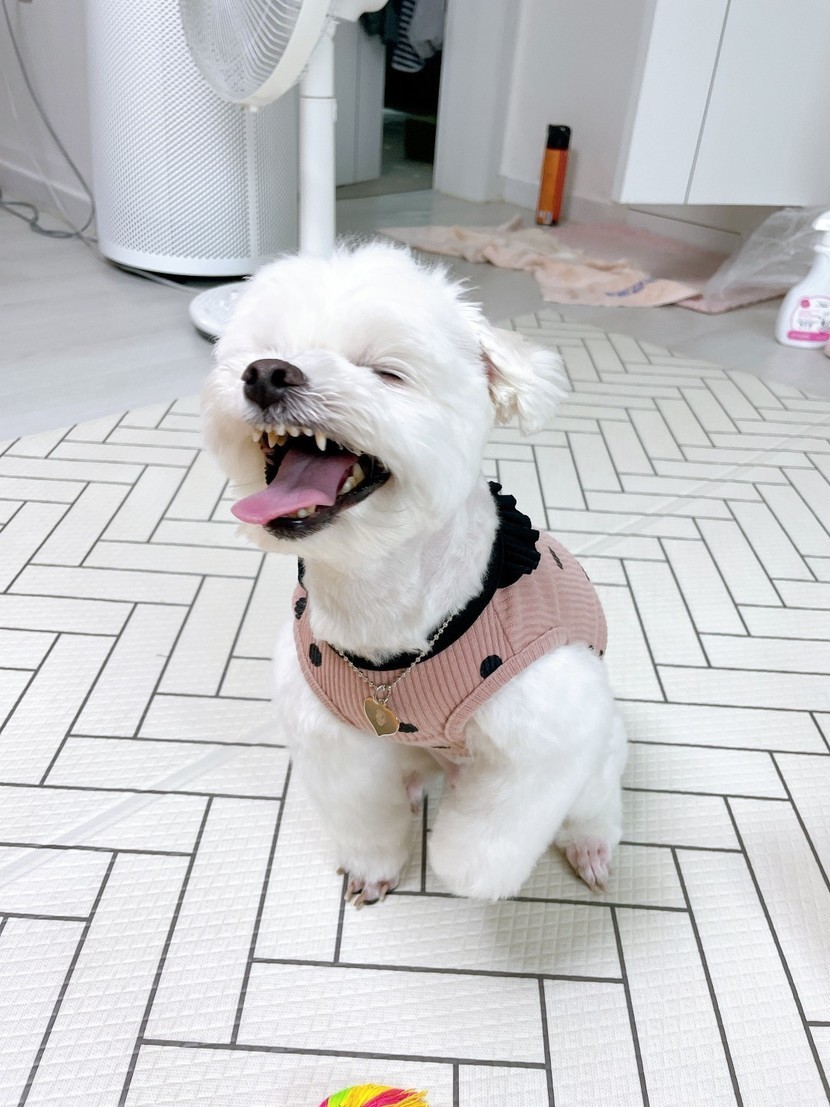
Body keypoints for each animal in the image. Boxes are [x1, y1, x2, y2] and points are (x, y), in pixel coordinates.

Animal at [202, 242, 627, 906]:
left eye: (386, 372)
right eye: (255, 352)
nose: (267, 373)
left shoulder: (548, 734)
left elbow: (486, 840)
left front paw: (458, 868)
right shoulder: (331, 737)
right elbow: (362, 814)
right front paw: (374, 866)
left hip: (601, 756)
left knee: (596, 807)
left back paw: (590, 846)